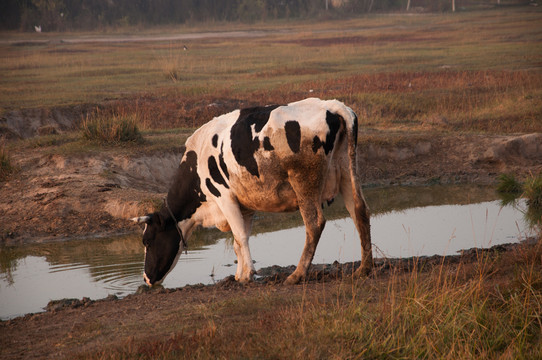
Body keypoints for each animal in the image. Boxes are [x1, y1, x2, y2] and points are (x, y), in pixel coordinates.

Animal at [133, 97, 374, 286]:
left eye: (147, 241)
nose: (146, 278)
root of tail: (331, 106)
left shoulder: (224, 197)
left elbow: (239, 236)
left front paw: (246, 275)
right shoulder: (246, 205)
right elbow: (240, 240)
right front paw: (239, 274)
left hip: (305, 182)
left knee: (315, 222)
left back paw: (297, 275)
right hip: (347, 171)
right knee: (359, 211)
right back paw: (364, 269)